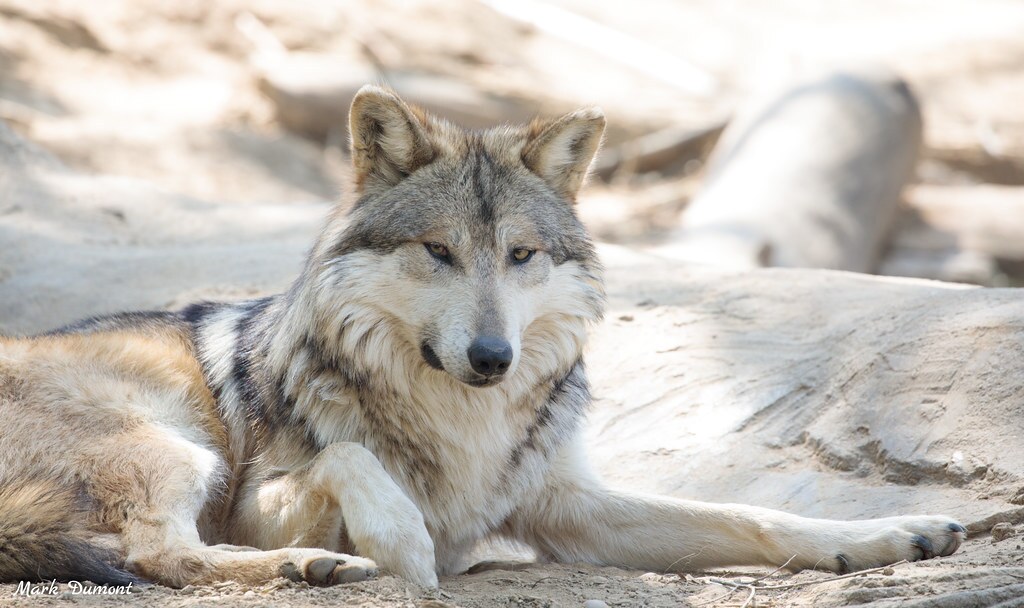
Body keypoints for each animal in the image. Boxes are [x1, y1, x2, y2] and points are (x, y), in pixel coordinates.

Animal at [0, 86, 965, 589]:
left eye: (520, 255)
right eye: (439, 252)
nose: (494, 358)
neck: (457, 420)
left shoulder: (566, 505)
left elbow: (749, 516)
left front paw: (892, 535)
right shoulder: (255, 497)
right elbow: (351, 458)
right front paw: (400, 540)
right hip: (178, 451)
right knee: (163, 552)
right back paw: (309, 564)